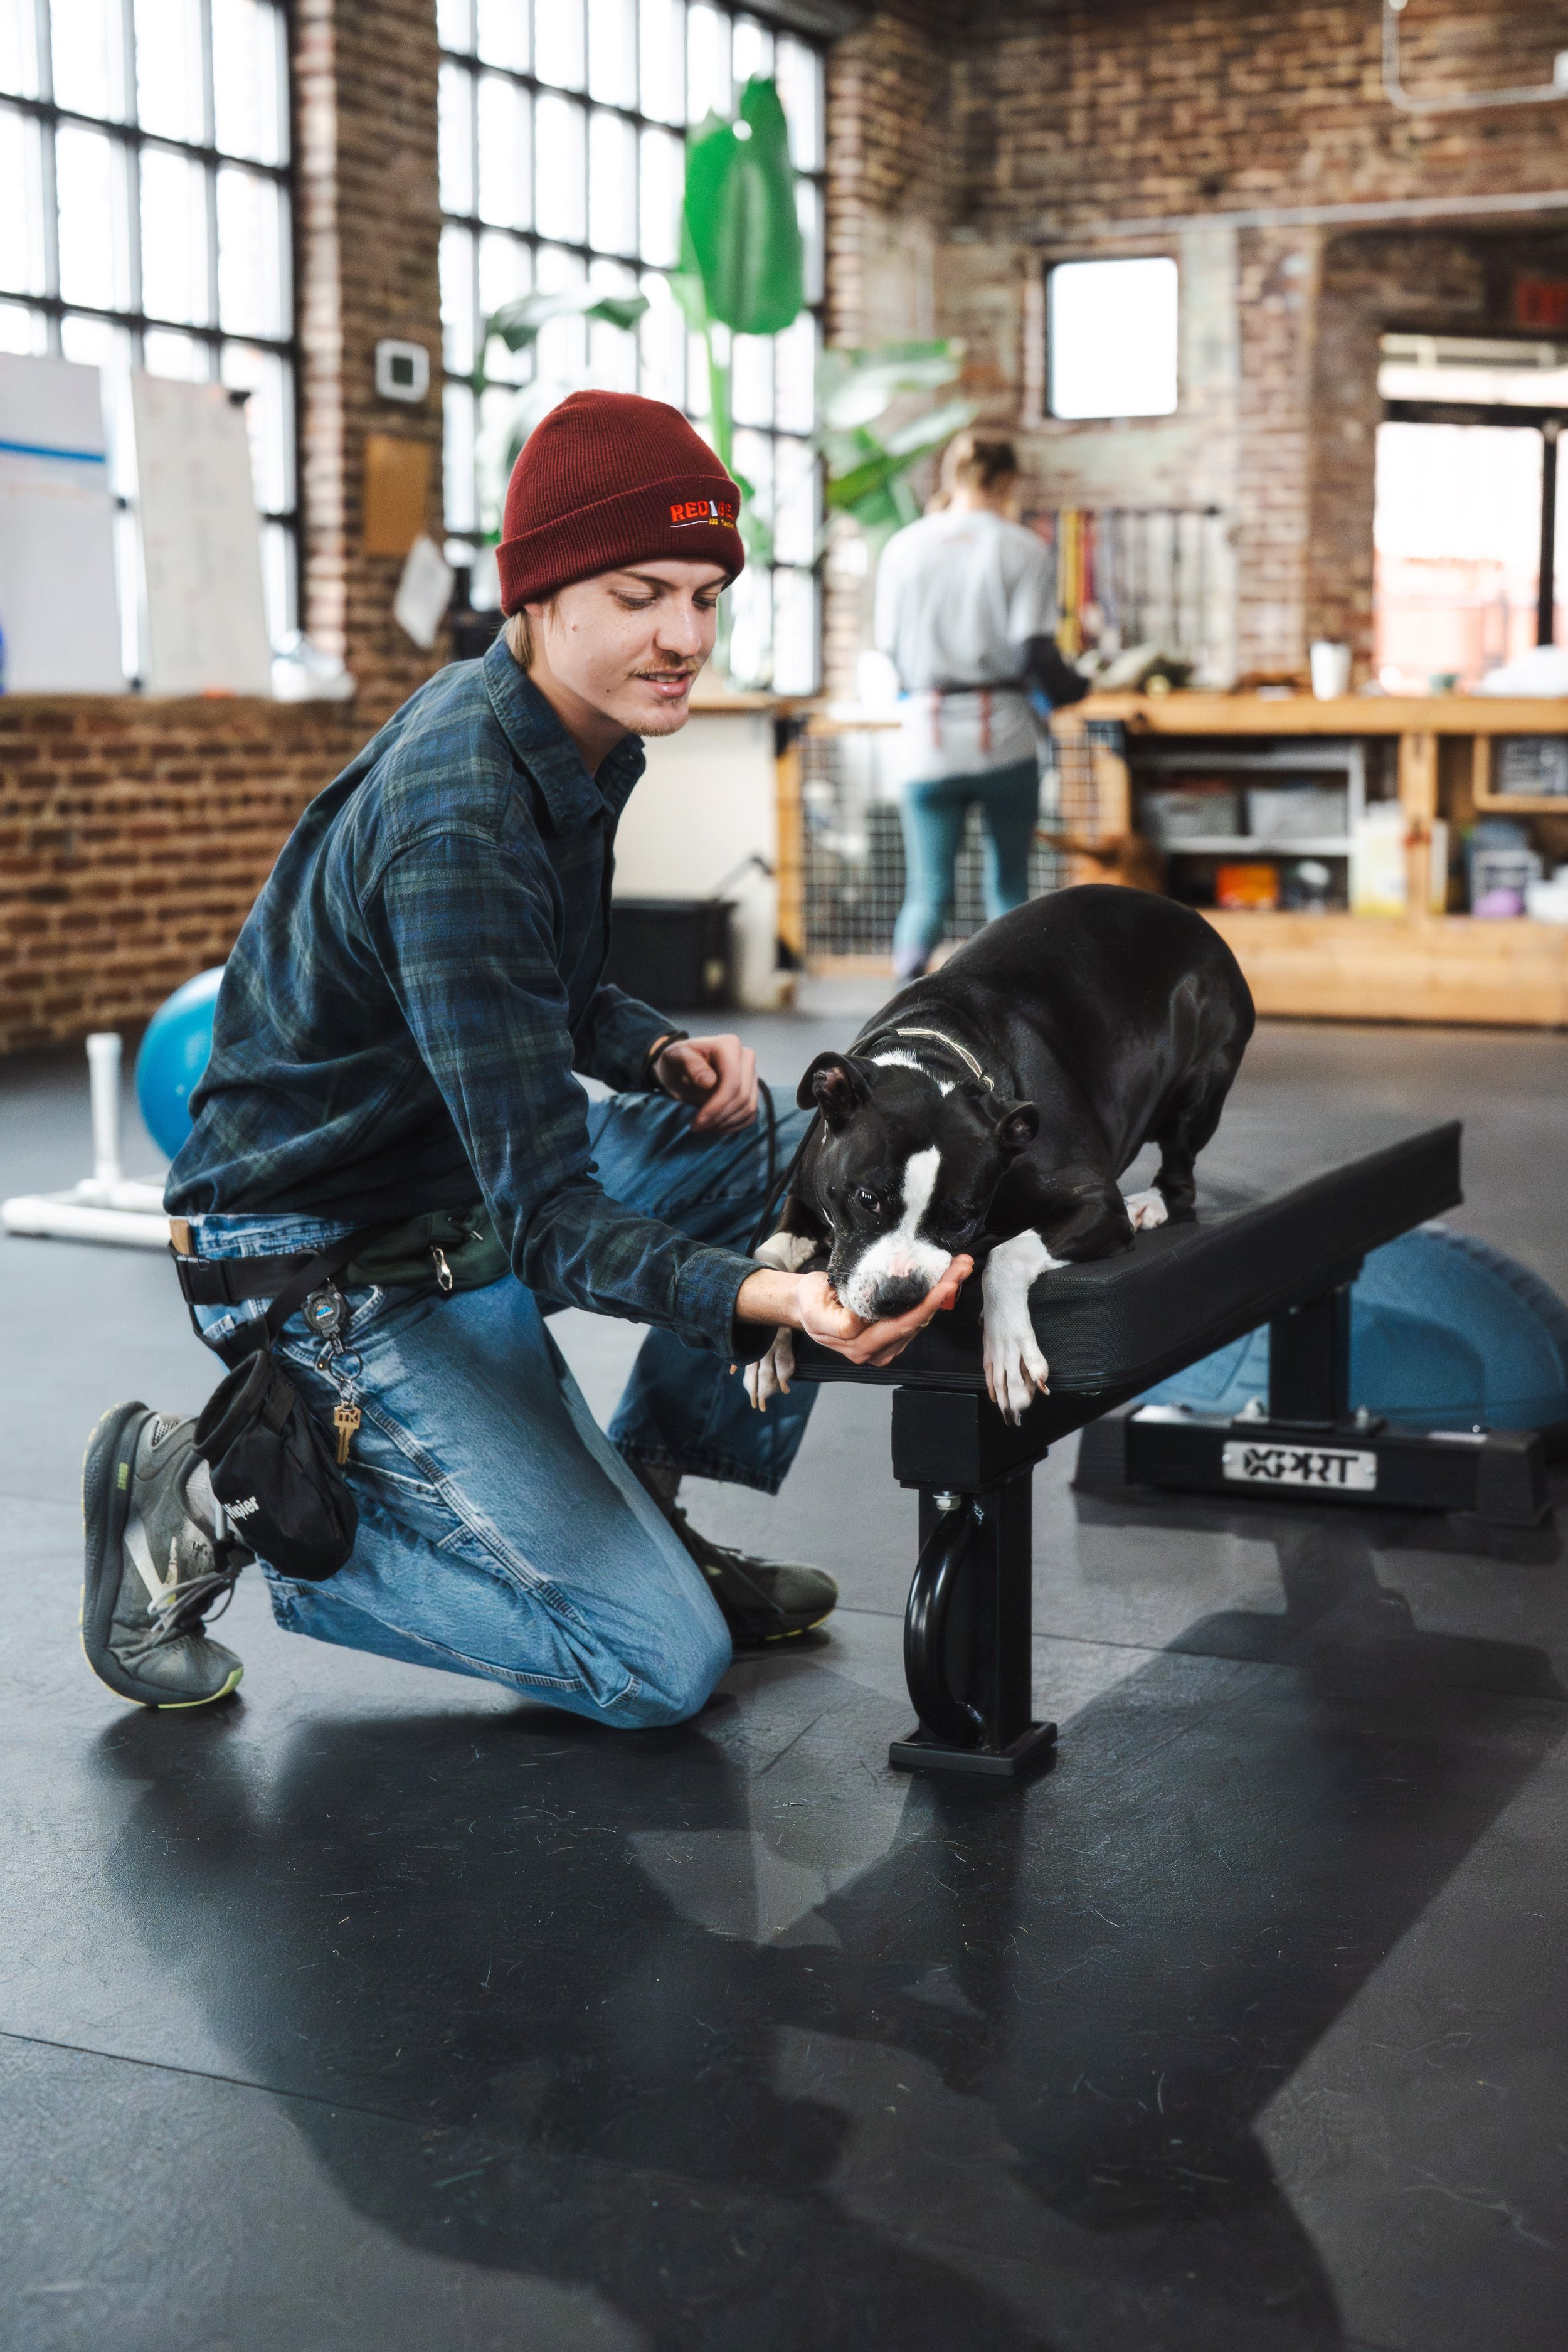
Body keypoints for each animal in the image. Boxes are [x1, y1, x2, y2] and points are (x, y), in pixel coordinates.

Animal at [748, 885, 1254, 1423]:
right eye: (867, 1199)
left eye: (961, 1221)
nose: (898, 1296)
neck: (939, 1056)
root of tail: (1192, 917)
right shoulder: (805, 1194)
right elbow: (767, 1252)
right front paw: (764, 1346)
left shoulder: (1097, 1204)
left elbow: (1007, 1253)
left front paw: (1009, 1349)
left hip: (1200, 1087)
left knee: (1181, 1177)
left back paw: (1152, 1204)